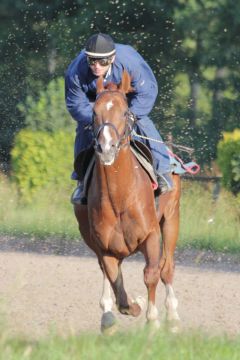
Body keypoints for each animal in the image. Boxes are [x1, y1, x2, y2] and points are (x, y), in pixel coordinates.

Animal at [73, 70, 180, 334]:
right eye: (94, 112)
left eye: (124, 112)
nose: (106, 147)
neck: (120, 199)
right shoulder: (104, 247)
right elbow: (117, 288)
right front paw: (130, 306)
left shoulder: (151, 235)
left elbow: (151, 274)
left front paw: (153, 320)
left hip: (172, 218)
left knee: (167, 268)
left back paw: (172, 316)